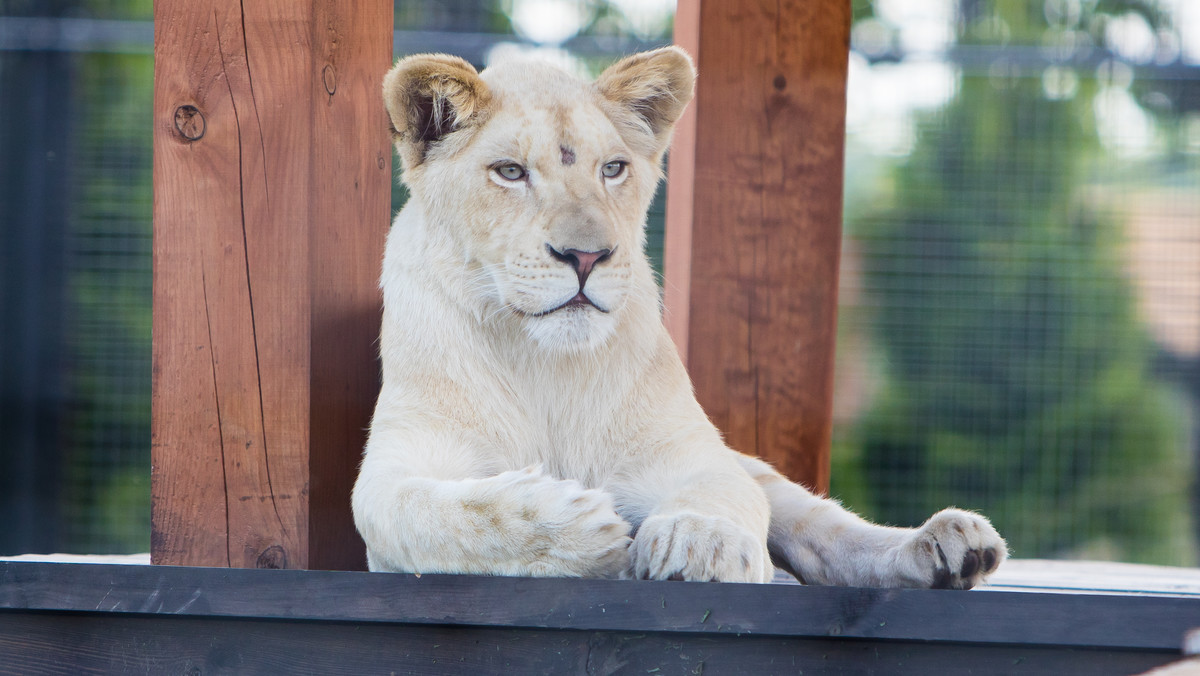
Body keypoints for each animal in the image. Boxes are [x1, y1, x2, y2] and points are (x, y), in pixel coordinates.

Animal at [350, 47, 1008, 588]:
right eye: (510, 172)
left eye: (612, 169)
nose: (586, 256)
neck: (547, 366)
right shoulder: (391, 474)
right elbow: (431, 512)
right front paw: (577, 526)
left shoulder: (692, 454)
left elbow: (717, 495)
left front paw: (700, 542)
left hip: (759, 470)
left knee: (822, 531)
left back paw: (949, 545)